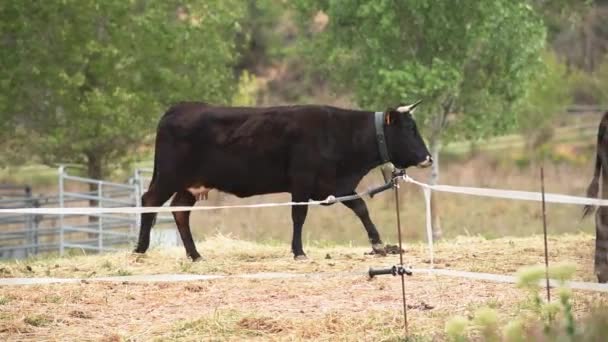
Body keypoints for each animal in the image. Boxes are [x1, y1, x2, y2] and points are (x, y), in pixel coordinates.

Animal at [133, 101, 432, 260]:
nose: (428, 158)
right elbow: (298, 215)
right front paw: (298, 251)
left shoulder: (333, 184)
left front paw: (378, 243)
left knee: (179, 211)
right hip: (169, 176)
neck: (338, 132)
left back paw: (195, 255)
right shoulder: (302, 181)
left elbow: (360, 206)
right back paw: (140, 249)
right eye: (409, 129)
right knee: (149, 201)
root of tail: (180, 108)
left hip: (189, 185)